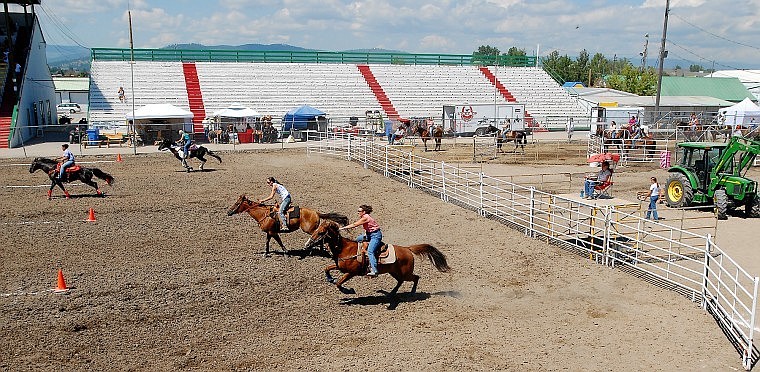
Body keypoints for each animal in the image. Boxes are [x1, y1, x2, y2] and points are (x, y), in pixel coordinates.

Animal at [304, 221, 452, 296]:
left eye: (321, 232)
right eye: (316, 229)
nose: (307, 244)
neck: (345, 249)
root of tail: (407, 249)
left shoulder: (351, 272)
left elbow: (339, 283)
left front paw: (349, 290)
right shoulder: (340, 267)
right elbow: (327, 269)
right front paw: (330, 279)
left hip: (405, 272)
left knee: (416, 277)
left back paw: (411, 293)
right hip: (394, 272)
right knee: (401, 281)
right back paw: (392, 293)